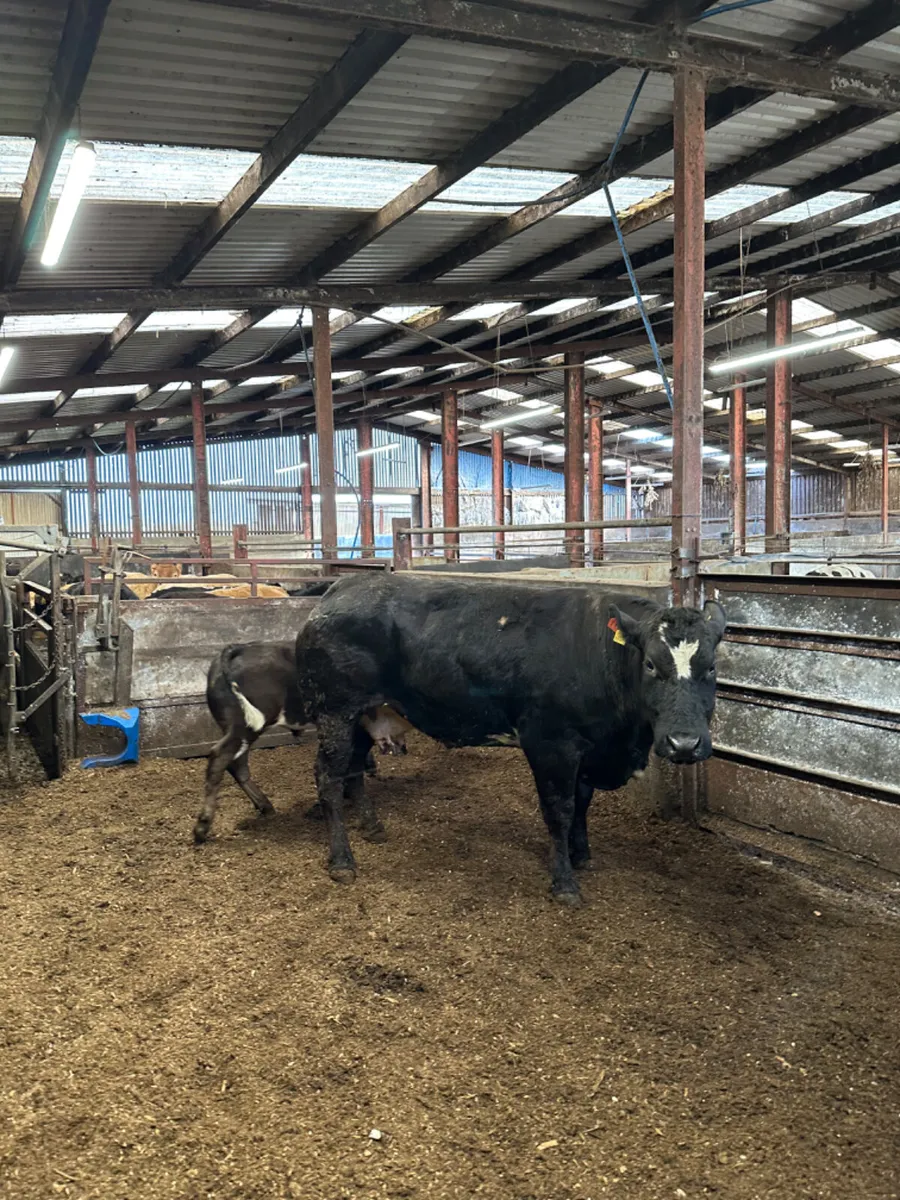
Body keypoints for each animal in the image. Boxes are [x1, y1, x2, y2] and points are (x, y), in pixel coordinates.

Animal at [194, 642, 412, 843]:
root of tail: (237, 649)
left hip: (240, 729)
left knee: (236, 764)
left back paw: (265, 806)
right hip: (245, 726)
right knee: (220, 757)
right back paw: (202, 827)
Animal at [296, 574, 726, 905]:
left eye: (711, 667)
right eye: (651, 664)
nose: (684, 743)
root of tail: (343, 585)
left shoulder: (588, 748)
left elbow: (582, 803)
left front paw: (582, 855)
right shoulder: (550, 742)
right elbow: (560, 809)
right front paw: (565, 882)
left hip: (365, 714)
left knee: (353, 769)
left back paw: (371, 828)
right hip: (335, 711)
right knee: (328, 777)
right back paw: (342, 861)